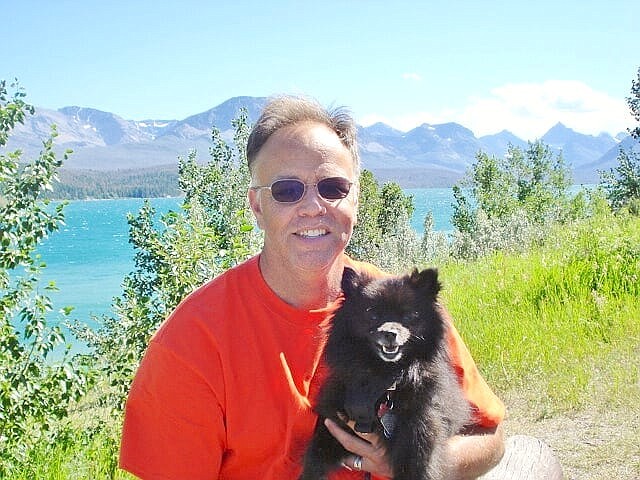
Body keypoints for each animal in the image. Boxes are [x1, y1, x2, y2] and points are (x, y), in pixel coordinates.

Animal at [298, 268, 470, 480]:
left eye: (409, 315)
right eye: (372, 314)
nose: (390, 333)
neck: (382, 375)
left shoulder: (418, 439)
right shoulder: (332, 424)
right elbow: (314, 460)